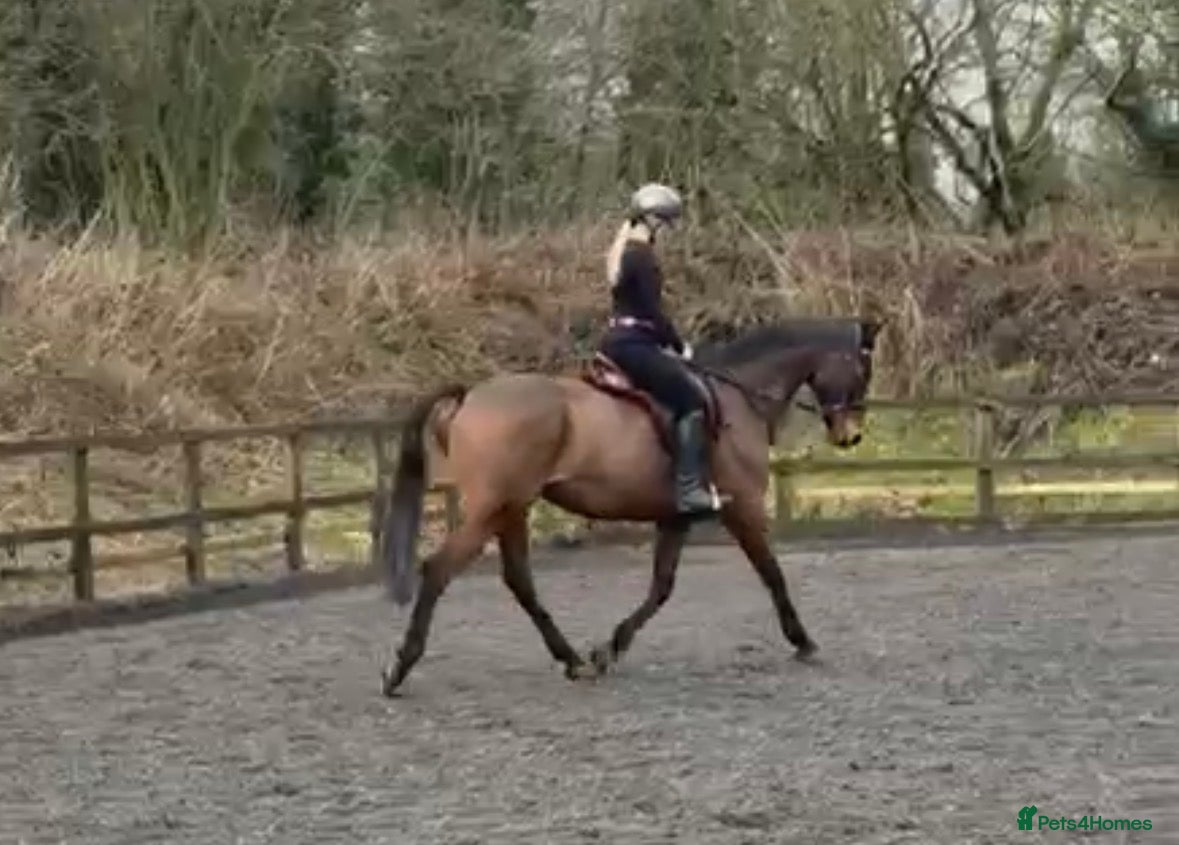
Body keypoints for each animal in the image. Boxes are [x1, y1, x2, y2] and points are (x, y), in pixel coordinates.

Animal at [374, 317, 881, 695]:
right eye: (863, 369)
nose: (851, 435)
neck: (739, 398)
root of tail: (470, 395)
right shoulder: (745, 509)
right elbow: (772, 574)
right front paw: (804, 642)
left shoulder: (676, 518)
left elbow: (661, 587)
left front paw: (609, 649)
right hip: (492, 508)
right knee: (439, 570)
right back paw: (399, 668)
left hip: (511, 508)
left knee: (519, 581)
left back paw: (574, 661)